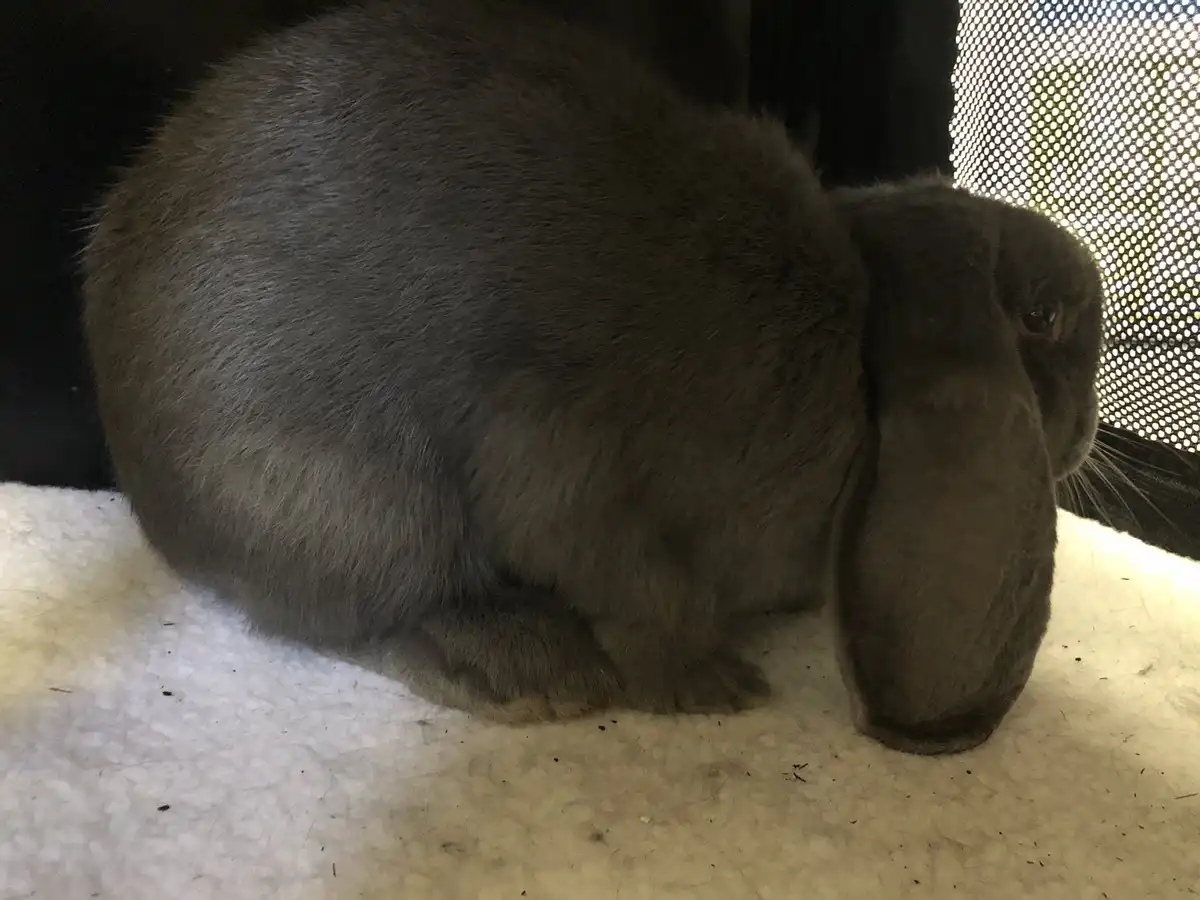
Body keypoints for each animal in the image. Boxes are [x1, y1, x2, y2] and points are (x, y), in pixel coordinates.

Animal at [82, 0, 1104, 754]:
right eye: (1043, 317)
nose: (1094, 431)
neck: (855, 333)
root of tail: (152, 503)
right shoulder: (565, 462)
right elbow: (638, 592)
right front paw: (711, 687)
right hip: (352, 501)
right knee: (356, 613)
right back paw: (525, 671)